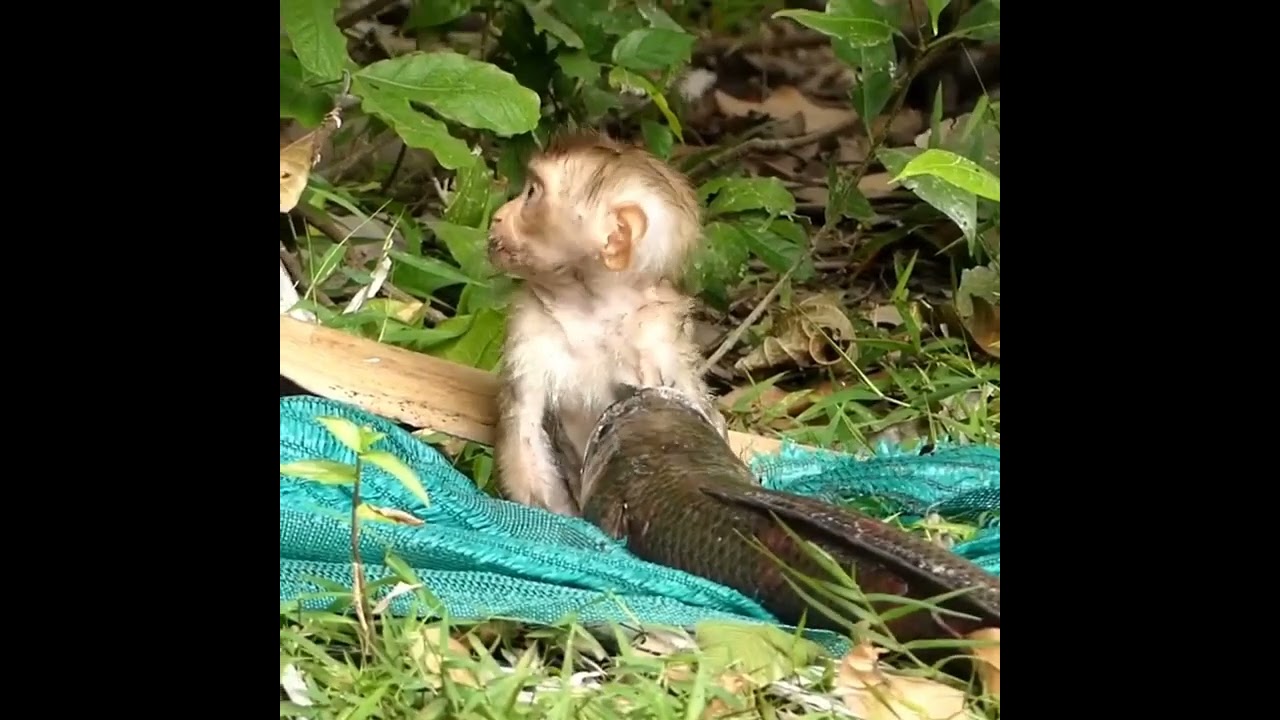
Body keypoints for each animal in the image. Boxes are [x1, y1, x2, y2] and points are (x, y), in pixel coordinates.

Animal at [487, 130, 728, 517]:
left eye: (532, 193)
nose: (498, 216)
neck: (592, 307)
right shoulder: (530, 322)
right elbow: (526, 425)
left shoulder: (657, 337)